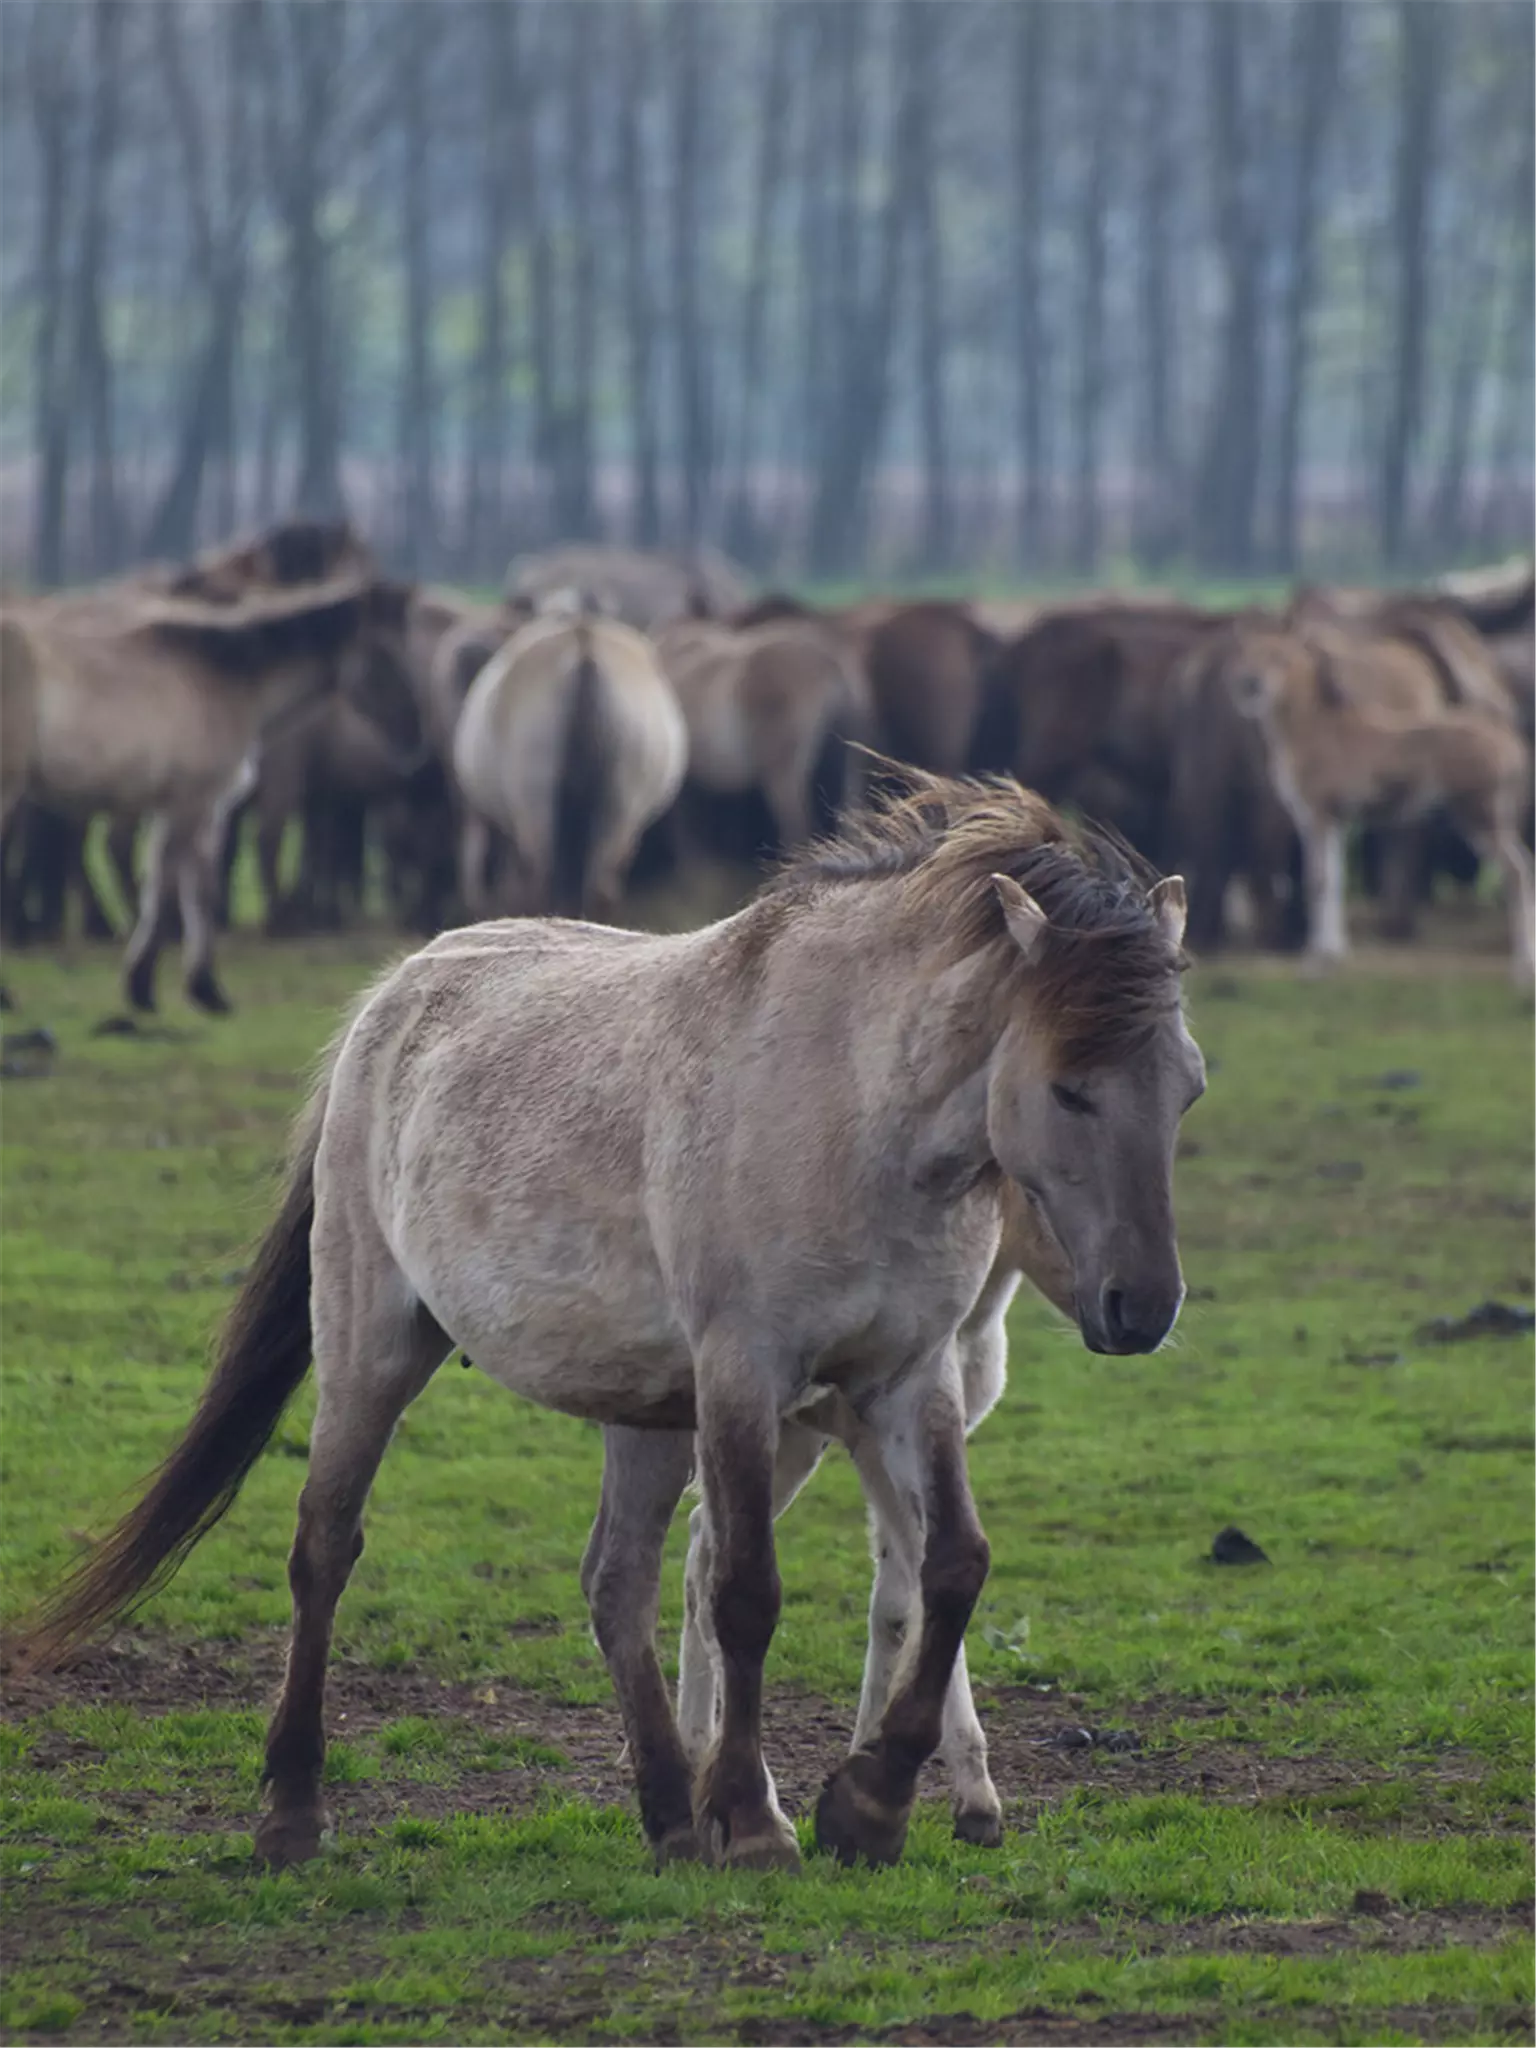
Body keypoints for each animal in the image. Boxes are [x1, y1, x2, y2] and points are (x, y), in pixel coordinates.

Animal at [0, 577, 409, 1007]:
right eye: (385, 653)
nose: (413, 737)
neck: (224, 679)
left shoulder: (204, 809)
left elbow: (199, 889)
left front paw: (204, 987)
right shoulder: (189, 802)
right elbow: (165, 888)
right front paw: (142, 985)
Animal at [18, 774, 1212, 1875]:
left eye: (1188, 1088)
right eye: (1068, 1089)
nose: (1144, 1305)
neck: (852, 1104)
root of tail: (393, 994)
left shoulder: (907, 1379)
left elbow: (951, 1567)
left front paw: (866, 1806)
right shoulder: (745, 1376)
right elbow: (746, 1590)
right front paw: (759, 1821)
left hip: (645, 1414)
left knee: (616, 1581)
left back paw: (670, 1813)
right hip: (371, 1345)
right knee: (326, 1547)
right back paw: (293, 1813)